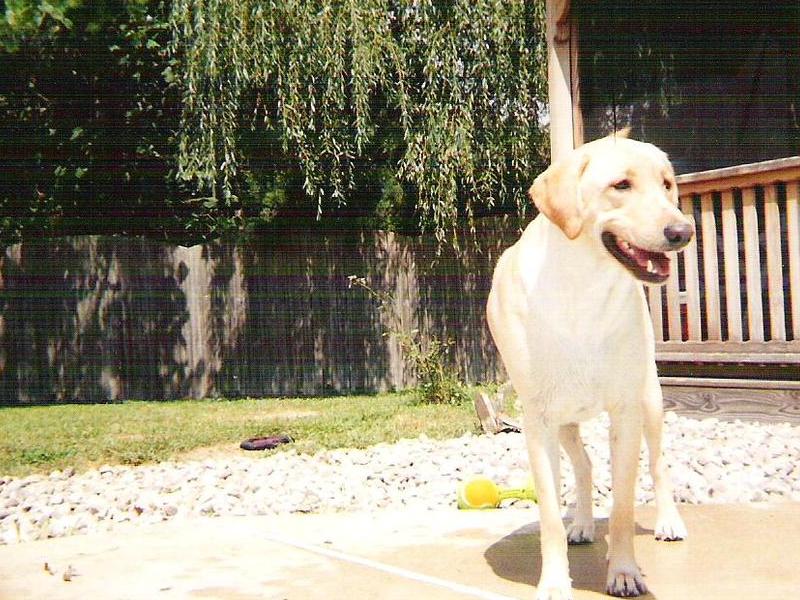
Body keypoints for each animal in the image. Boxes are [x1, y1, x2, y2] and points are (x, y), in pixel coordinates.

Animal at [488, 132, 692, 600]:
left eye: (667, 184)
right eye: (621, 185)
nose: (682, 231)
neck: (583, 285)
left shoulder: (626, 411)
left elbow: (623, 505)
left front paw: (624, 572)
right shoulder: (538, 421)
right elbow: (548, 513)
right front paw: (553, 582)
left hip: (650, 399)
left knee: (659, 463)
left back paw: (668, 521)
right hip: (564, 421)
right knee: (583, 467)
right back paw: (580, 524)